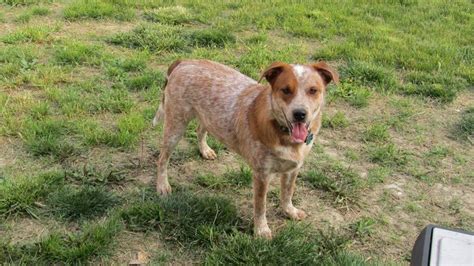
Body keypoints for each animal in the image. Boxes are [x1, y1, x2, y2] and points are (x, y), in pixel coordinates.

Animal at [154, 59, 338, 238]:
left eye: (313, 90)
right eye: (285, 90)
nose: (300, 114)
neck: (284, 134)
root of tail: (184, 61)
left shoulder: (293, 168)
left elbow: (287, 193)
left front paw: (289, 211)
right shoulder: (262, 174)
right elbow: (260, 206)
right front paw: (261, 230)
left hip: (208, 117)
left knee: (200, 129)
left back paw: (205, 150)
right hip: (175, 126)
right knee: (162, 159)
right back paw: (162, 186)